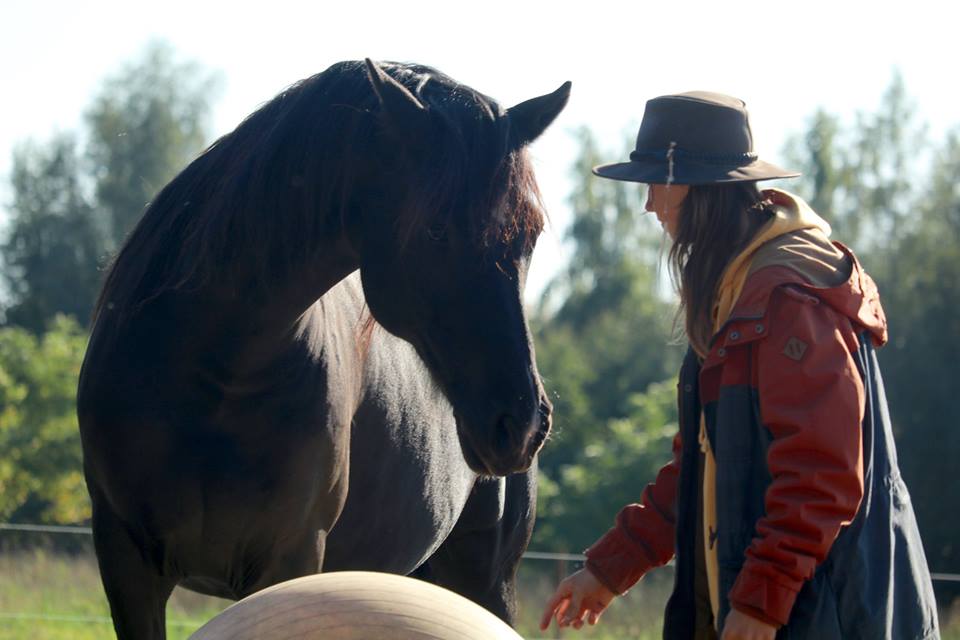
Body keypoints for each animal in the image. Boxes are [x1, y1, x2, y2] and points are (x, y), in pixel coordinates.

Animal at [77, 61, 568, 640]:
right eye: (436, 229)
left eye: (531, 235)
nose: (522, 424)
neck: (212, 375)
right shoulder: (126, 564)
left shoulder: (288, 558)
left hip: (488, 581)